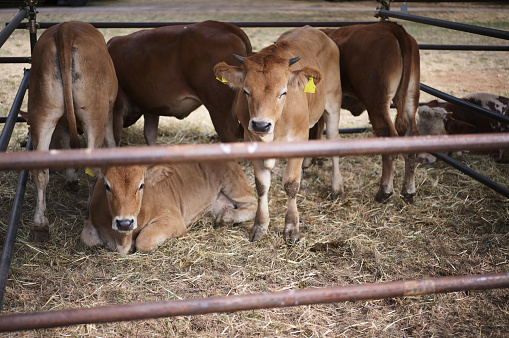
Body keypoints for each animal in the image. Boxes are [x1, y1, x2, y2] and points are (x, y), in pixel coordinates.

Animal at [29, 21, 118, 242]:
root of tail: (65, 28)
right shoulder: (109, 111)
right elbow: (111, 143)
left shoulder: (61, 124)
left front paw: (71, 180)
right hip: (94, 115)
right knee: (92, 168)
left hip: (42, 113)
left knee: (40, 172)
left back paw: (41, 225)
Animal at [81, 162, 256, 254]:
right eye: (107, 186)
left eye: (141, 185)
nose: (124, 223)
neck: (122, 239)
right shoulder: (90, 219)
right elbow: (89, 240)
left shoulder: (172, 218)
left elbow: (144, 240)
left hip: (234, 184)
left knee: (253, 203)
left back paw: (227, 217)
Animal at [107, 19, 250, 145]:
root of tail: (222, 26)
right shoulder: (151, 106)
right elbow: (150, 134)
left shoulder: (117, 105)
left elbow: (114, 139)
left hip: (218, 105)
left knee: (228, 134)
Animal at [212, 26, 340, 243]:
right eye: (246, 91)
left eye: (283, 92)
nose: (261, 124)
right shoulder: (251, 142)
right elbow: (262, 186)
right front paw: (260, 225)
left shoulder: (297, 140)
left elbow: (291, 184)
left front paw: (291, 227)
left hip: (333, 103)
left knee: (334, 140)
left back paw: (337, 188)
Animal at [322, 21, 420, 203]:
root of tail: (389, 26)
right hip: (411, 97)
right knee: (412, 138)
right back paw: (408, 191)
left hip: (377, 103)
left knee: (389, 136)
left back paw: (385, 191)